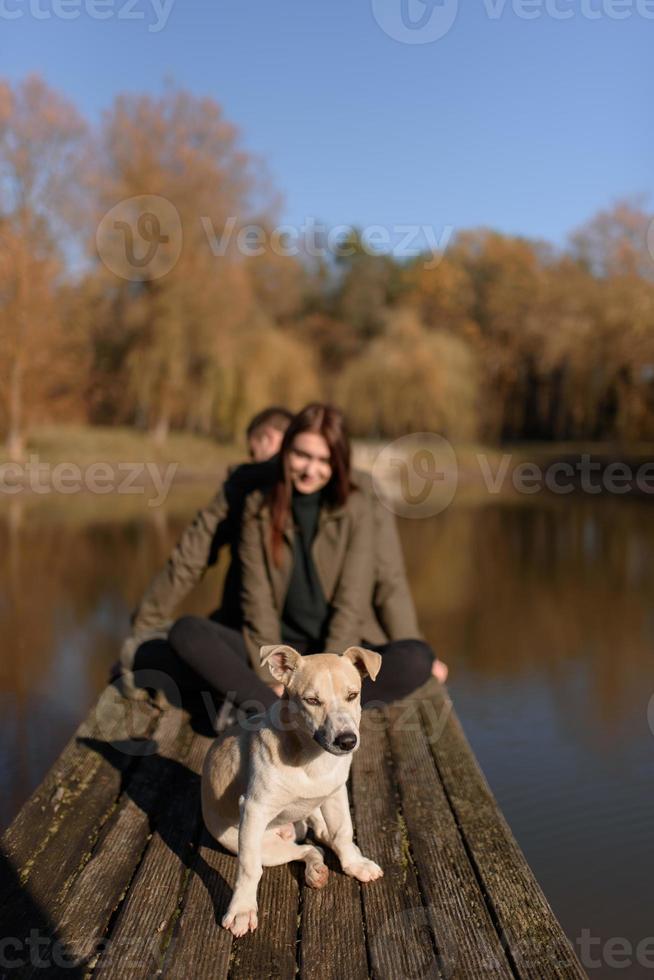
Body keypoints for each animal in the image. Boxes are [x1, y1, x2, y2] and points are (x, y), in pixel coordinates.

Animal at [204, 644, 384, 936]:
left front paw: (354, 865)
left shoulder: (335, 794)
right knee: (307, 850)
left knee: (319, 839)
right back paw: (315, 869)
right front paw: (242, 910)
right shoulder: (254, 809)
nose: (347, 741)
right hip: (262, 847)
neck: (312, 758)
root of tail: (290, 829)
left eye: (352, 695)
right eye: (312, 701)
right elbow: (249, 867)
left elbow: (343, 832)